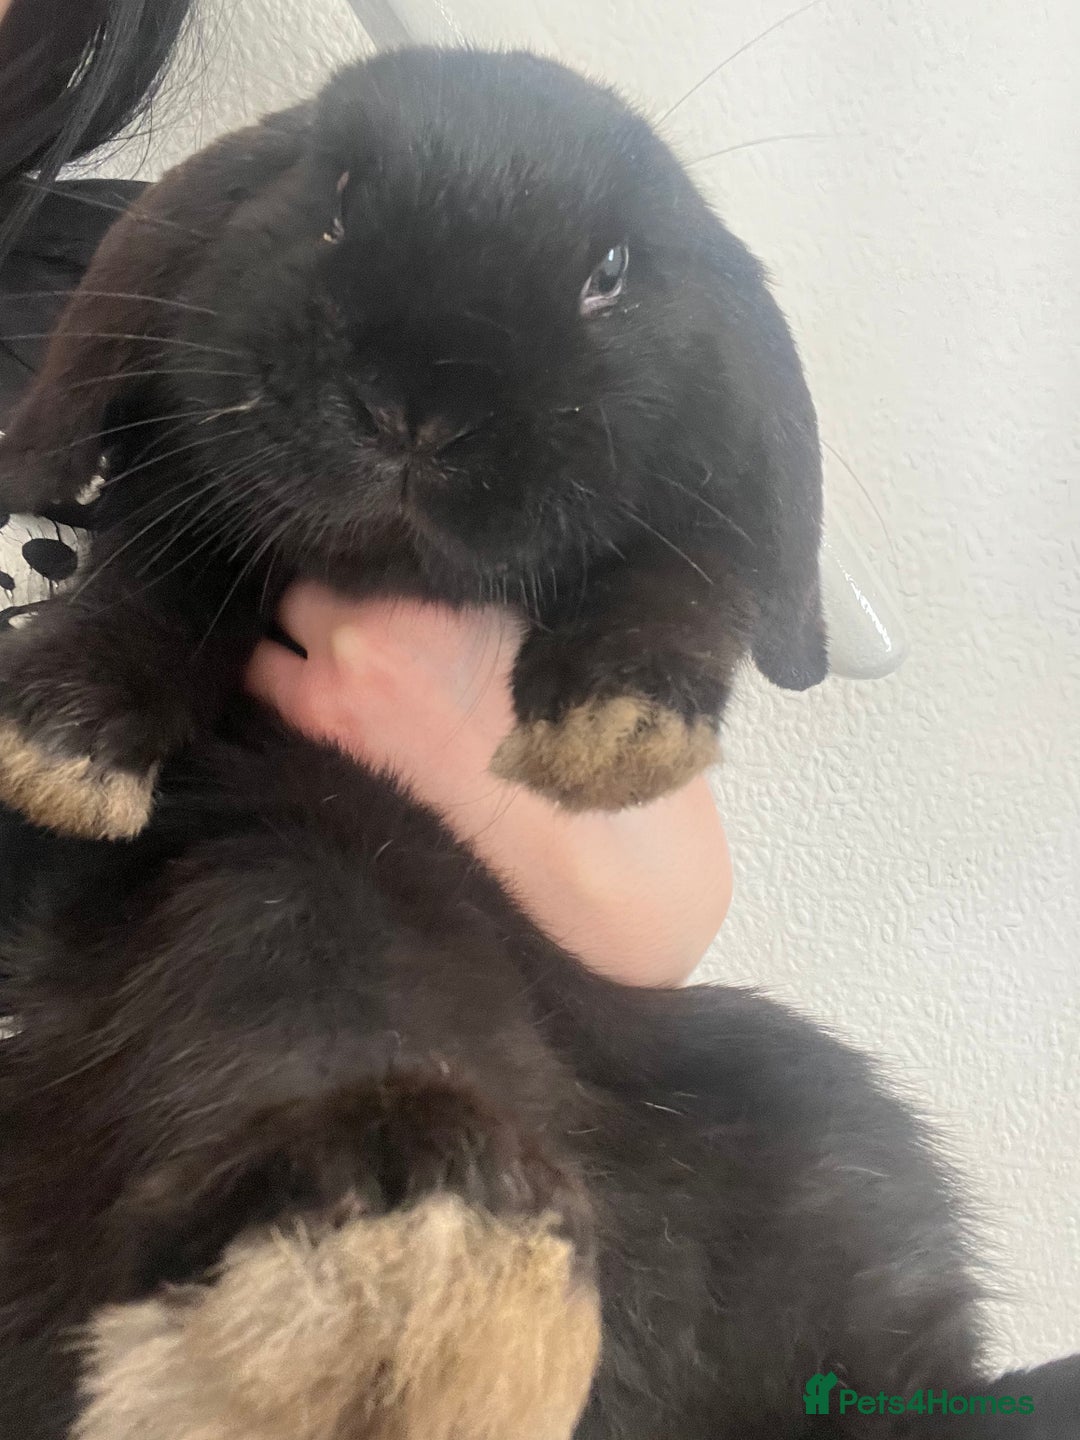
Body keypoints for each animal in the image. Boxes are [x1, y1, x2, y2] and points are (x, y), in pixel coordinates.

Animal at [0, 46, 1076, 1440]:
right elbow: (161, 579)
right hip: (289, 912)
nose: (414, 410)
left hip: (829, 1135)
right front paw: (62, 743)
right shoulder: (194, 536)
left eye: (609, 272)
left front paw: (618, 730)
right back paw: (398, 1279)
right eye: (332, 200)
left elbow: (690, 570)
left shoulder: (673, 544)